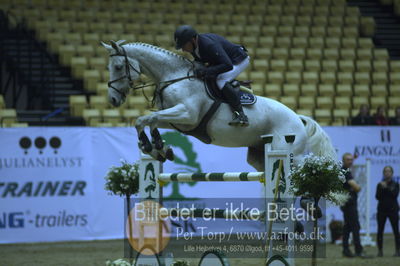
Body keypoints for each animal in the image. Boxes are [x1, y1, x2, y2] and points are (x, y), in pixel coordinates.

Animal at [101, 41, 336, 170]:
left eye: (119, 66)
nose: (113, 100)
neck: (173, 76)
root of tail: (298, 118)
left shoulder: (187, 114)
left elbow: (146, 119)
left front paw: (152, 146)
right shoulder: (178, 120)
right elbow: (148, 120)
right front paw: (159, 149)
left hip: (287, 152)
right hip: (259, 156)